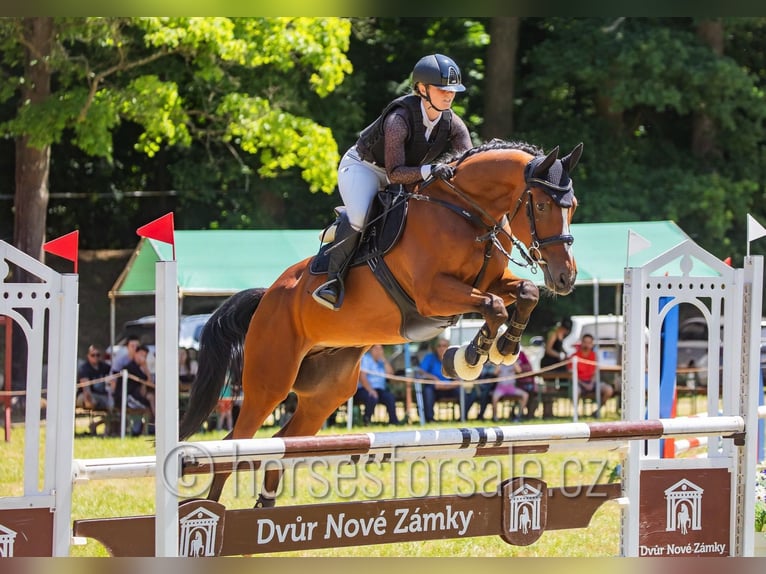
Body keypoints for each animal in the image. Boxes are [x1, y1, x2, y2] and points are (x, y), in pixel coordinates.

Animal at [179, 139, 582, 507]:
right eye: (541, 204)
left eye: (573, 207)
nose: (566, 277)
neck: (467, 213)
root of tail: (267, 297)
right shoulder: (432, 295)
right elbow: (494, 307)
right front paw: (468, 357)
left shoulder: (490, 282)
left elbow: (525, 292)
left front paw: (504, 348)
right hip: (269, 381)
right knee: (235, 442)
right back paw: (211, 511)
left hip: (326, 391)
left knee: (284, 440)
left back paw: (264, 508)